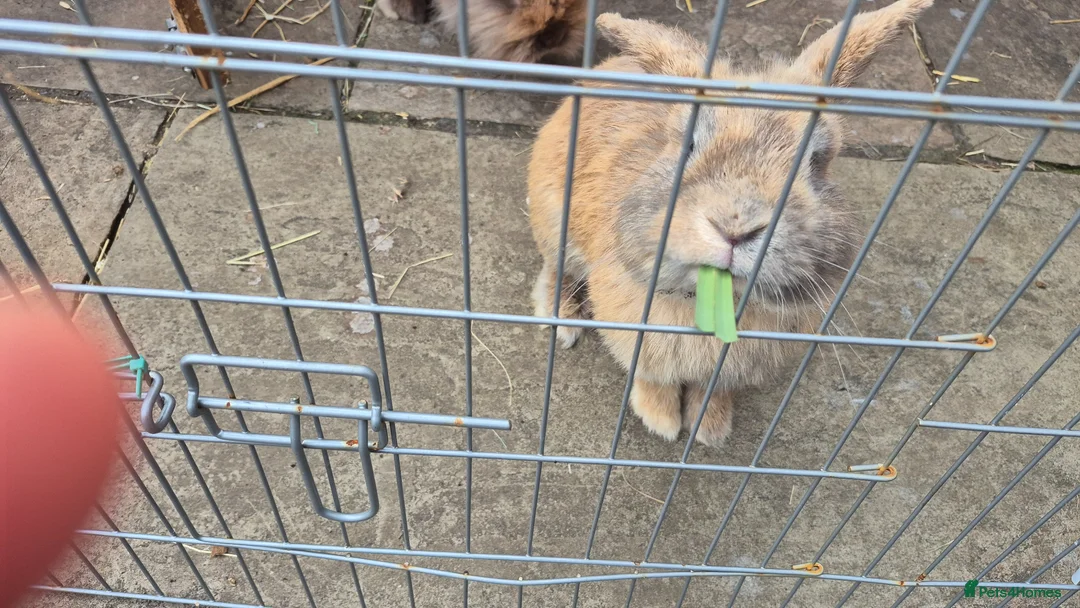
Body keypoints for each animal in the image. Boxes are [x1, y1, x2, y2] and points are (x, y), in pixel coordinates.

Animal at [528, 0, 934, 446]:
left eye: (817, 162)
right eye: (688, 144)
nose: (736, 229)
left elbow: (714, 389)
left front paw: (710, 429)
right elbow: (652, 378)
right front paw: (662, 423)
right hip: (555, 222)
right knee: (555, 270)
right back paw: (562, 322)